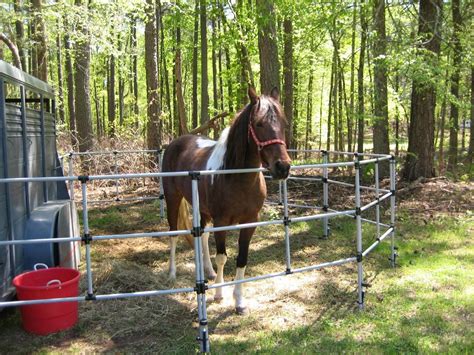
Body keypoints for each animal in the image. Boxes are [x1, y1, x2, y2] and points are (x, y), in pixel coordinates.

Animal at [161, 87, 290, 314]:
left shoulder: (250, 222)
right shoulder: (221, 222)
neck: (235, 177)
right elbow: (222, 256)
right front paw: (219, 294)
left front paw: (239, 302)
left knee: (201, 235)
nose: (283, 167)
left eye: (283, 123)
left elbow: (241, 259)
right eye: (259, 123)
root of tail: (175, 143)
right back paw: (172, 273)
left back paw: (208, 272)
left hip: (201, 209)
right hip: (173, 199)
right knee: (173, 233)